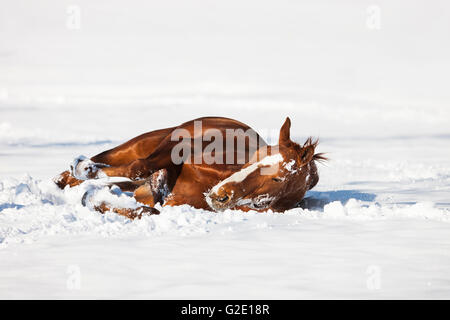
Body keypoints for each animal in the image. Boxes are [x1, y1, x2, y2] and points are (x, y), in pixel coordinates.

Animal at [55, 116, 324, 219]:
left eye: (277, 178)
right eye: (256, 157)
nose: (221, 195)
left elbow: (145, 208)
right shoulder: (179, 147)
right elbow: (140, 169)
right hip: (143, 144)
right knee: (115, 162)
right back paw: (77, 170)